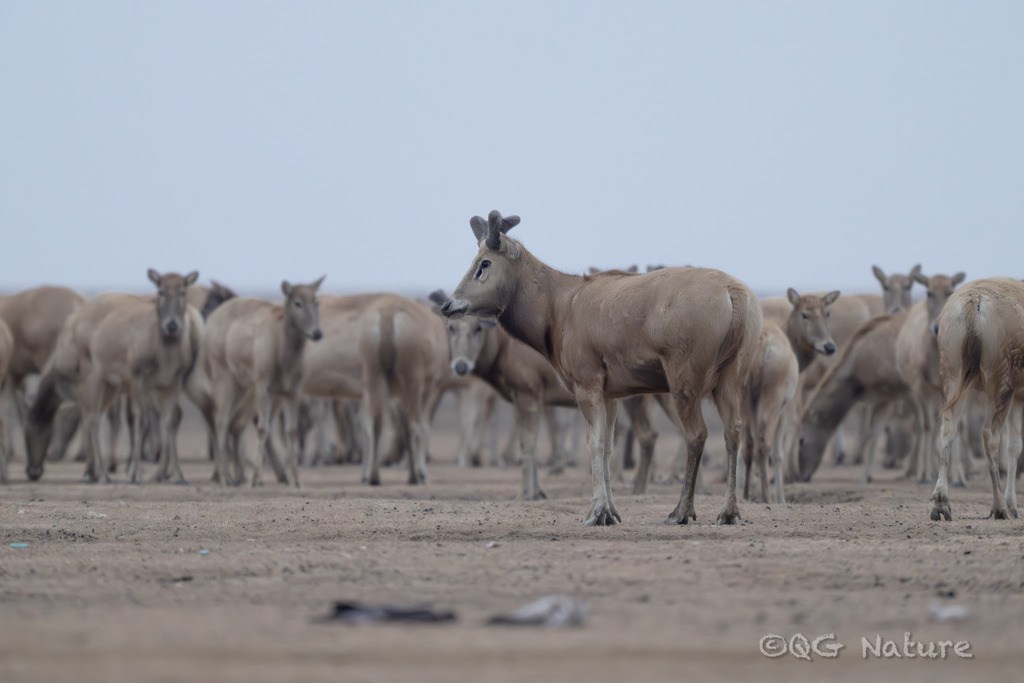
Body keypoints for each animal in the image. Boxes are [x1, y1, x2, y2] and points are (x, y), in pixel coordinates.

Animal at [205, 277, 324, 487]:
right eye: (297, 302)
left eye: (316, 302)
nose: (317, 333)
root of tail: (213, 319)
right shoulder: (263, 389)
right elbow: (262, 429)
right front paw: (256, 478)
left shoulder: (292, 393)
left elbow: (291, 431)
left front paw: (295, 479)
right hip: (224, 378)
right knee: (221, 419)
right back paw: (225, 477)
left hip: (241, 386)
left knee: (231, 422)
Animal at [440, 210, 762, 527]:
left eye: (484, 263)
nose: (448, 305)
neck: (553, 315)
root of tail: (735, 297)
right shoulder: (612, 393)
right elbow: (607, 446)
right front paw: (613, 512)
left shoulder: (585, 384)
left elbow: (592, 444)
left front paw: (596, 512)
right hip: (730, 380)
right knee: (732, 432)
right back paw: (729, 511)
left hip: (684, 380)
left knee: (696, 435)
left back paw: (681, 511)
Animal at [930, 277, 1024, 522]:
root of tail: (973, 303)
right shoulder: (1017, 393)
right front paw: (1011, 505)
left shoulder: (1019, 396)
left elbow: (1014, 445)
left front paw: (1014, 505)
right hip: (1000, 381)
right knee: (989, 434)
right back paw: (998, 507)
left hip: (953, 375)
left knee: (948, 428)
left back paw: (940, 503)